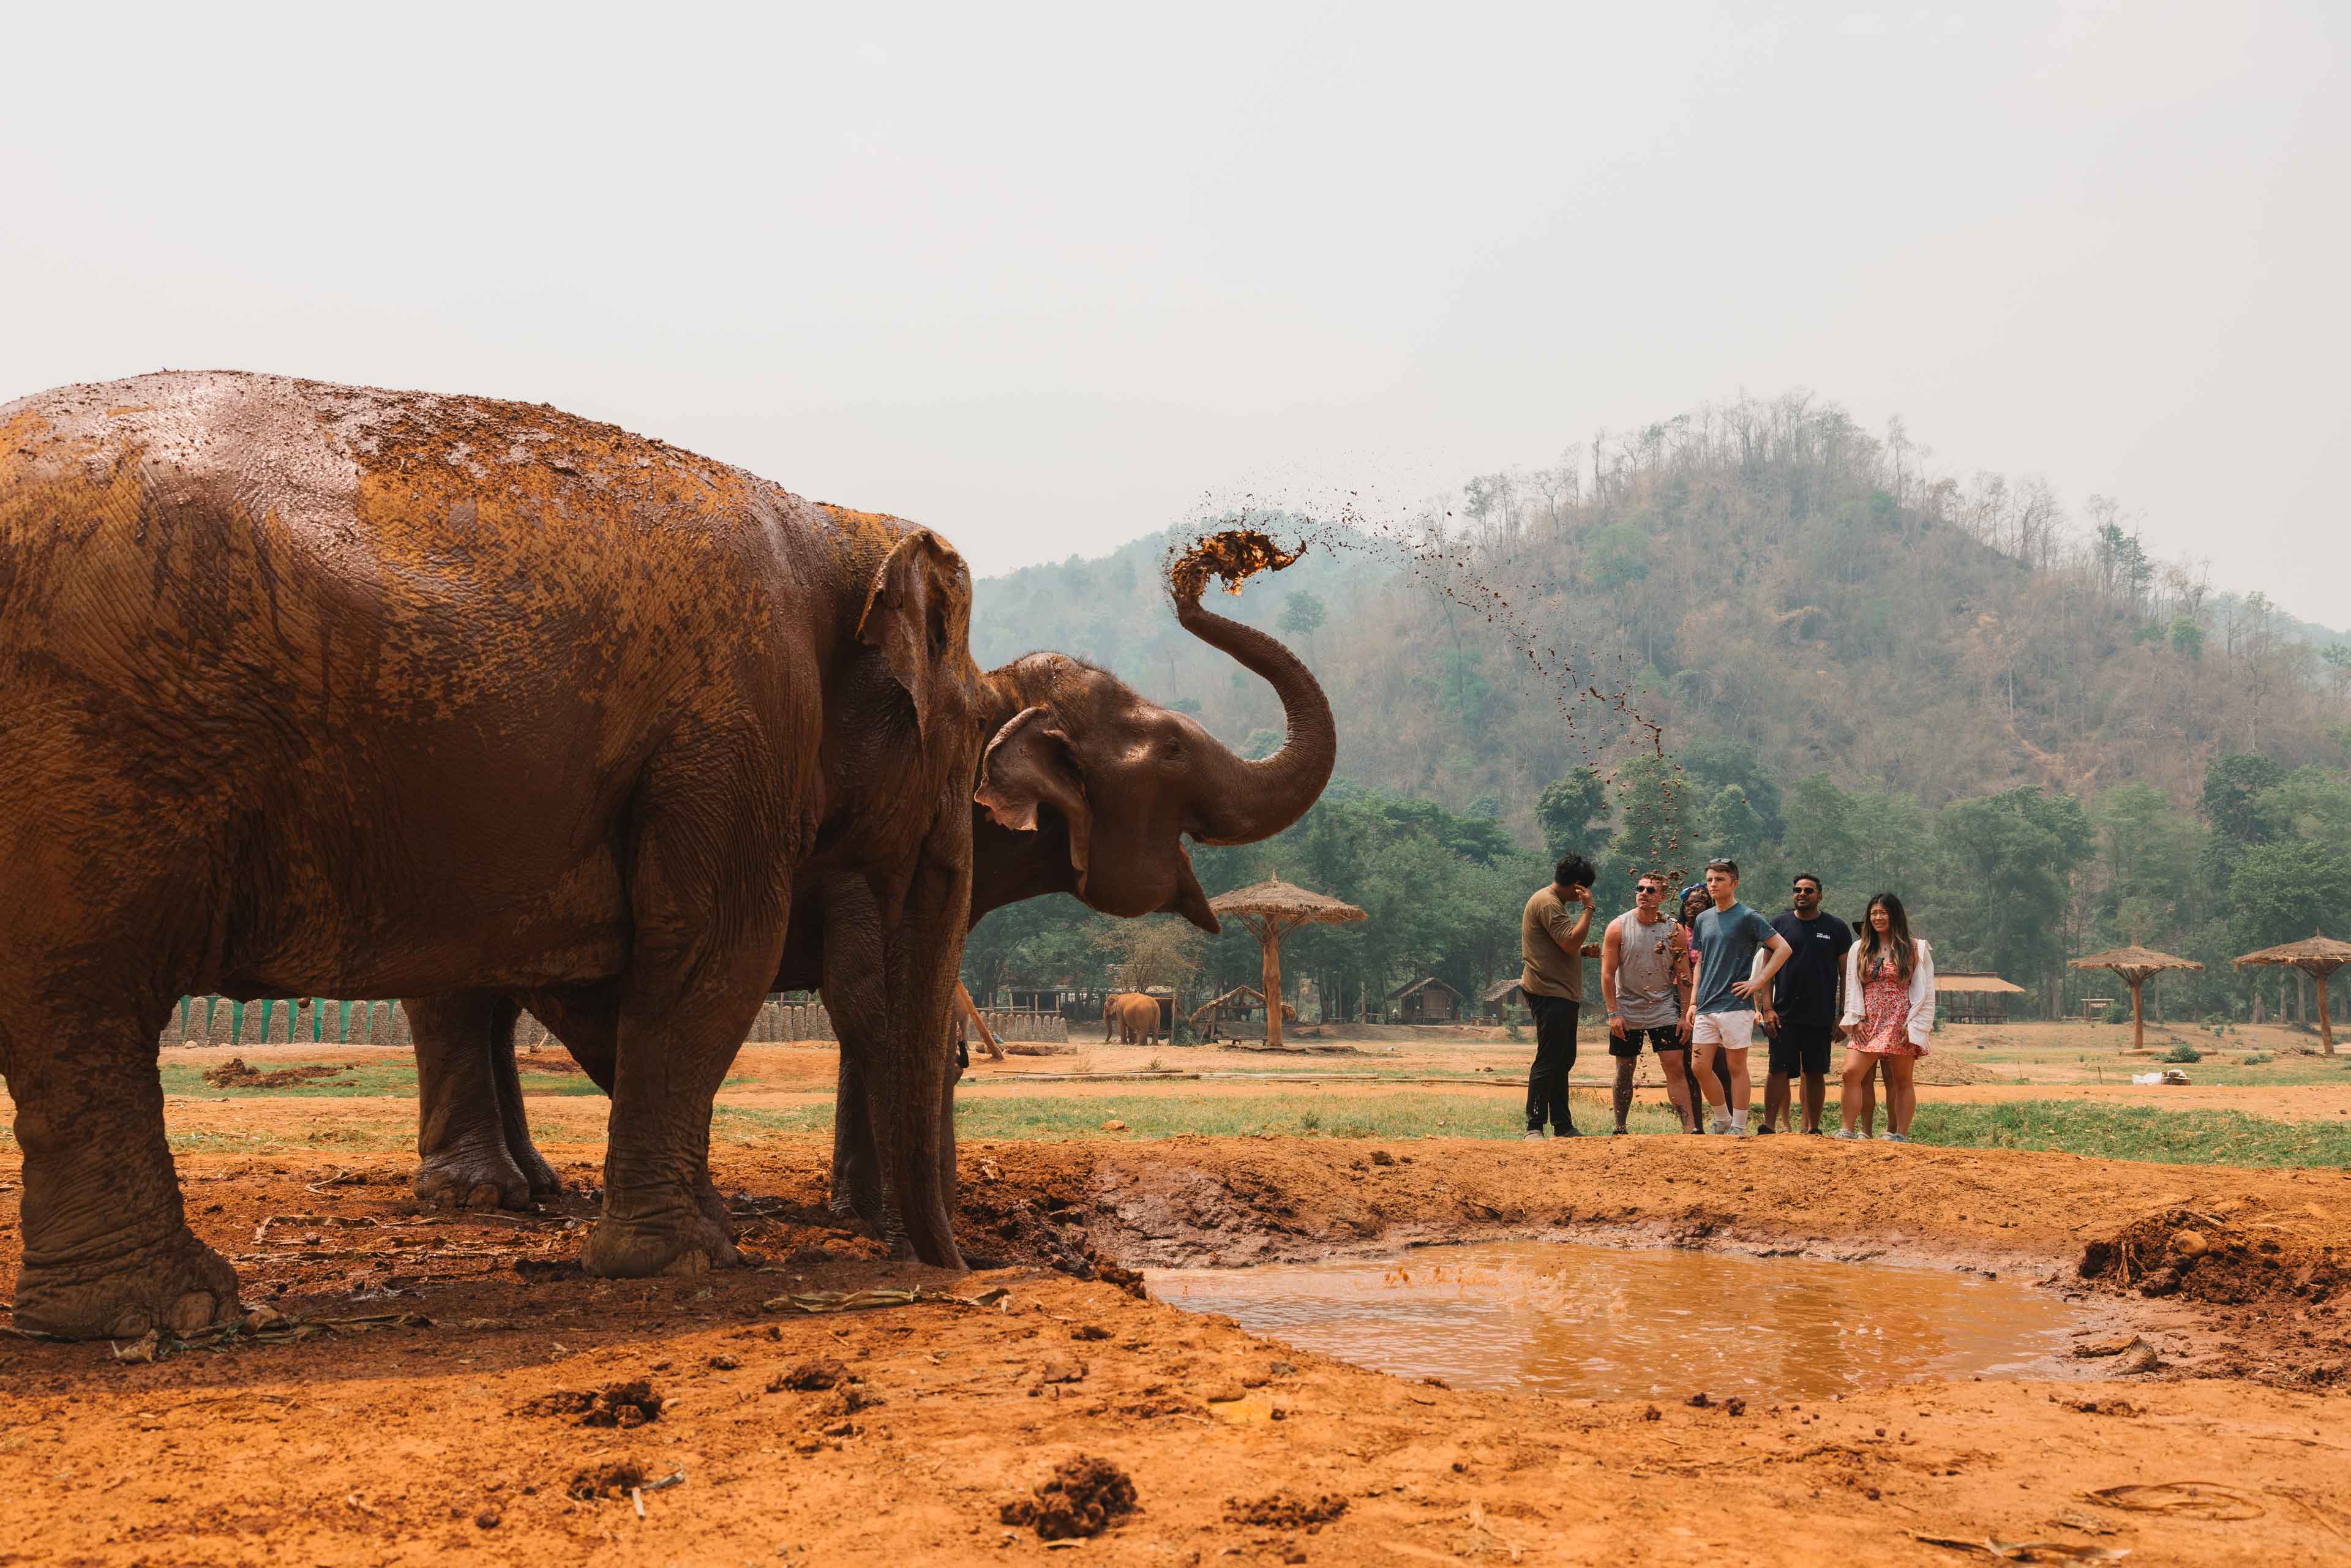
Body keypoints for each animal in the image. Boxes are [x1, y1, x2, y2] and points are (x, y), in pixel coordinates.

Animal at [0, 370, 993, 1338]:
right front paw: (687, 1257)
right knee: (81, 990)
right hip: (89, 754)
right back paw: (179, 1307)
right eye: (976, 726)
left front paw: (701, 1228)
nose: (955, 1267)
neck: (833, 521)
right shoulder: (740, 722)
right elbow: (714, 956)